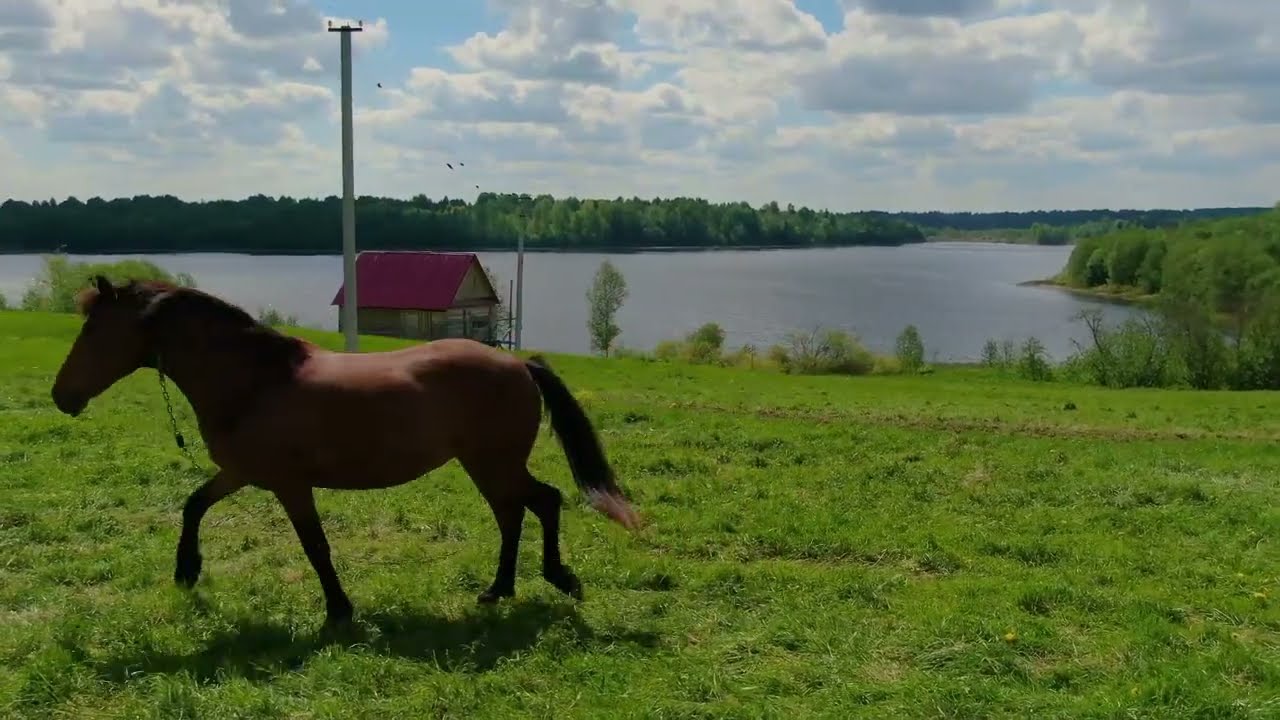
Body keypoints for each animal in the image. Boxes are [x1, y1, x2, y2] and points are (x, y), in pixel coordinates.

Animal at [49, 272, 640, 622]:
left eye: (94, 329)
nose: (61, 395)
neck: (254, 380)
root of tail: (518, 364)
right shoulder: (241, 473)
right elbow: (193, 504)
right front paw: (187, 571)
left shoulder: (289, 485)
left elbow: (316, 546)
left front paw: (338, 609)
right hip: (485, 465)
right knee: (516, 514)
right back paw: (500, 590)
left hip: (493, 462)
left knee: (540, 503)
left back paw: (555, 580)